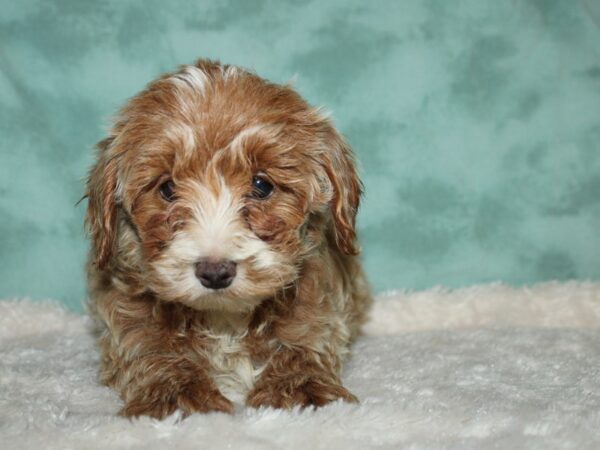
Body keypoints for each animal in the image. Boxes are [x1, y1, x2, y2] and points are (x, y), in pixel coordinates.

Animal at [84, 59, 370, 418]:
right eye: (167, 188)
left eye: (261, 185)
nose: (215, 272)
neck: (224, 317)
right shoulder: (123, 302)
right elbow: (145, 342)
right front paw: (176, 392)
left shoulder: (318, 292)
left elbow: (306, 334)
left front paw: (298, 386)